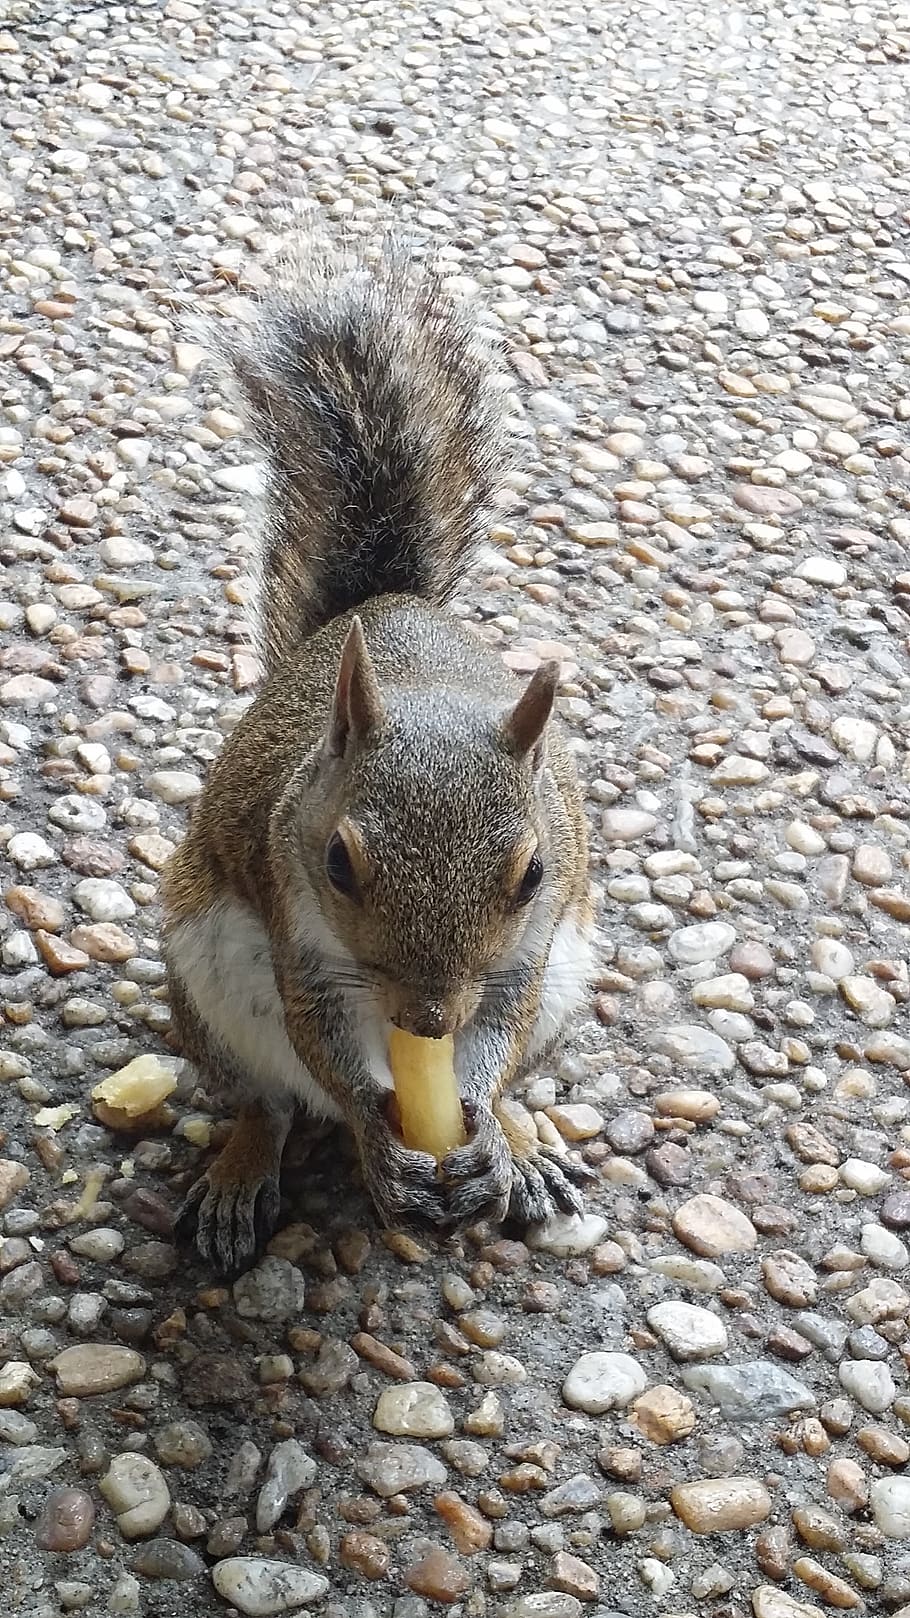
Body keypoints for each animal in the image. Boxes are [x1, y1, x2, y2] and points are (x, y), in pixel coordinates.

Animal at [162, 234, 595, 1276]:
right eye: (337, 863)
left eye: (532, 875)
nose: (429, 1024)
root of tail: (382, 605)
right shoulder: (293, 920)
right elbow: (320, 1038)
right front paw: (371, 1126)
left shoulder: (527, 956)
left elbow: (498, 1032)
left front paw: (479, 1123)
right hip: (205, 988)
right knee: (270, 1100)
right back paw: (241, 1174)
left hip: (567, 988)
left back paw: (520, 1148)